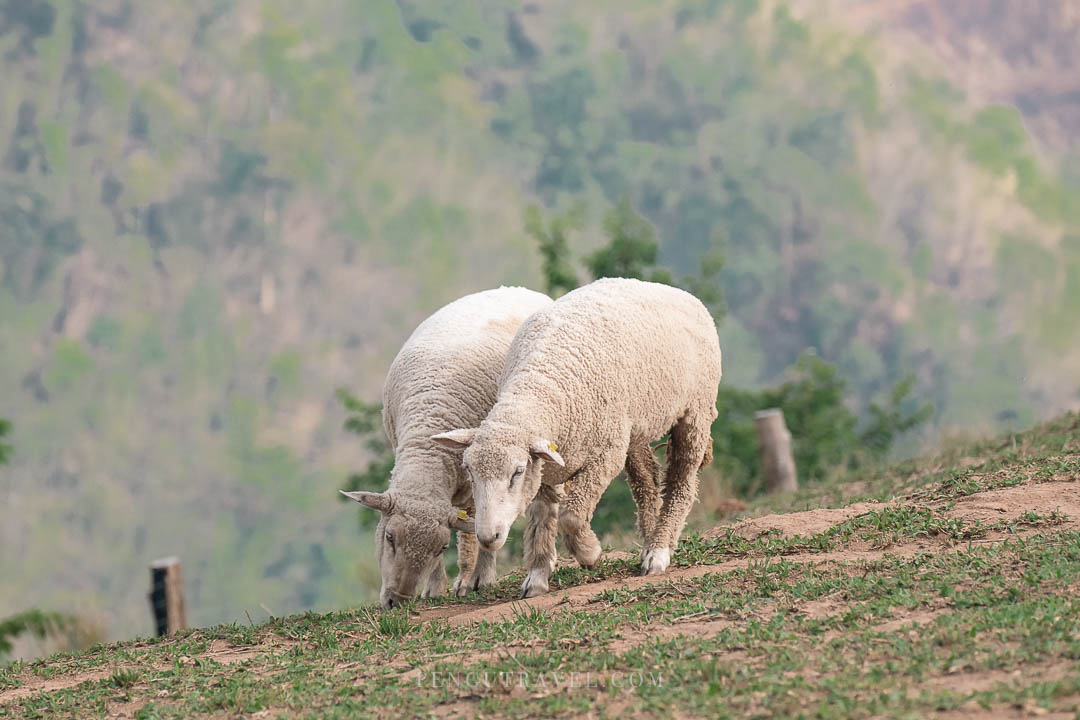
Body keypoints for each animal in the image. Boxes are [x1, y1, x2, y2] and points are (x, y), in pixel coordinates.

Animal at [341, 287, 552, 608]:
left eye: (441, 547)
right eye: (389, 537)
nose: (397, 601)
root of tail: (518, 288)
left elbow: (480, 529)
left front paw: (477, 578)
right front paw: (435, 587)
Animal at [429, 276, 717, 595]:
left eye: (516, 472)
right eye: (468, 471)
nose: (488, 537)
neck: (540, 384)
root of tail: (675, 291)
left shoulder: (603, 456)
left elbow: (571, 516)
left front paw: (590, 553)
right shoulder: (544, 465)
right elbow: (542, 519)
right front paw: (538, 575)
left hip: (695, 411)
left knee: (681, 481)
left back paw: (658, 551)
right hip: (634, 428)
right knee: (646, 481)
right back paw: (648, 543)